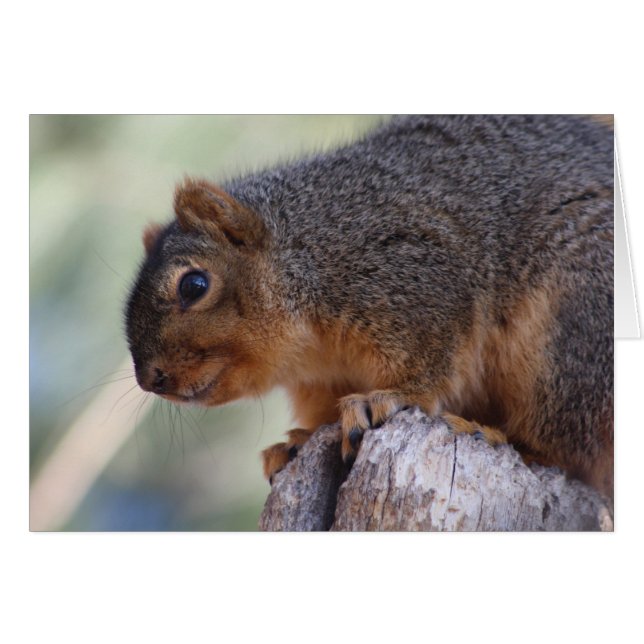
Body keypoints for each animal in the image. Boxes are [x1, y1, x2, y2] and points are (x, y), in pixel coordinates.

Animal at [125, 115, 614, 498]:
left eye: (194, 285)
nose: (152, 380)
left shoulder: (413, 275)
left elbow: (430, 360)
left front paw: (391, 397)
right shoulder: (320, 379)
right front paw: (298, 441)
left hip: (574, 327)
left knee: (565, 443)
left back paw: (494, 435)